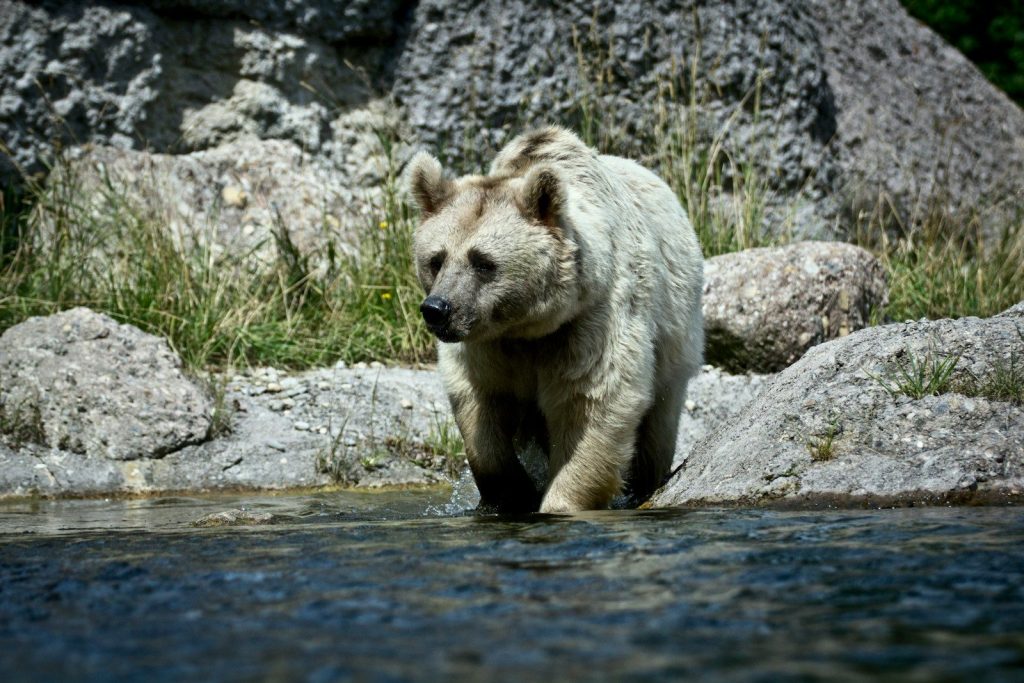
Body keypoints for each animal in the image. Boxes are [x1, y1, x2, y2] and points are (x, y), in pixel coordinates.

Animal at [405, 127, 703, 513]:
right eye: (436, 259)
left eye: (483, 262)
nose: (437, 309)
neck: (527, 326)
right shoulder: (486, 346)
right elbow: (480, 409)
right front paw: (512, 492)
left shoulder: (589, 322)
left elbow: (594, 403)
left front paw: (558, 501)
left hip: (675, 342)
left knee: (658, 426)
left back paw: (644, 486)